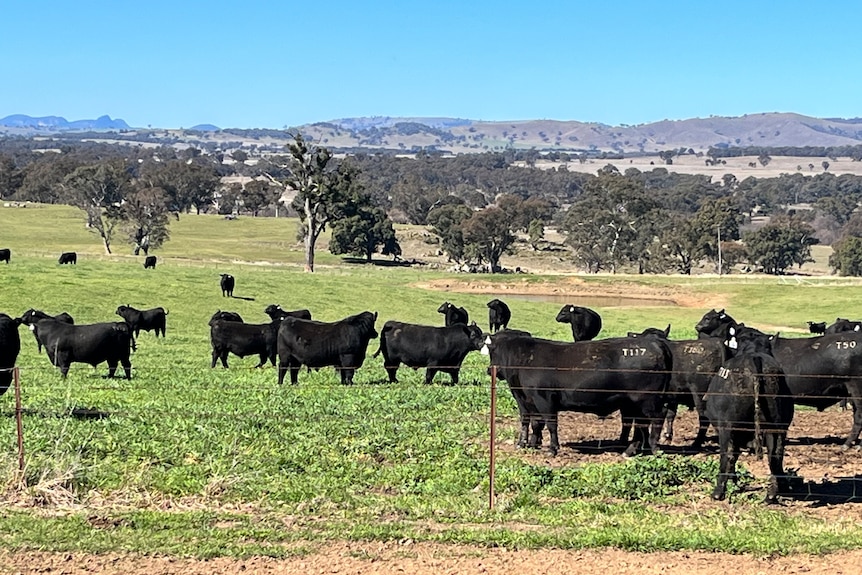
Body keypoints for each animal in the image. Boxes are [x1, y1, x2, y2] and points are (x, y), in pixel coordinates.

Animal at [480, 330, 676, 456]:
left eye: (492, 352)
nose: (490, 370)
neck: (524, 360)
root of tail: (656, 344)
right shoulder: (527, 400)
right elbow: (533, 423)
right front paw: (528, 444)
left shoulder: (544, 399)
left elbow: (550, 424)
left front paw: (552, 449)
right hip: (634, 403)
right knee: (640, 424)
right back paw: (631, 450)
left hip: (648, 401)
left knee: (658, 416)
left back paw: (654, 447)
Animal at [704, 330, 792, 502]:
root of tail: (755, 358)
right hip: (777, 426)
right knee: (775, 455)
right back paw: (772, 494)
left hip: (727, 426)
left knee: (727, 454)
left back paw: (718, 492)